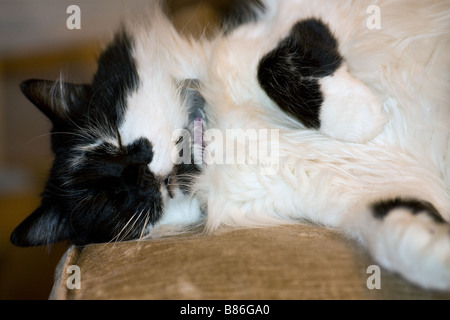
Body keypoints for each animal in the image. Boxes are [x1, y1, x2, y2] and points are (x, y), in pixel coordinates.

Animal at [11, 0, 450, 292]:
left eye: (115, 140)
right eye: (110, 201)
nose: (138, 177)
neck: (224, 141)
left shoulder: (296, 16)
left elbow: (270, 64)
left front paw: (361, 116)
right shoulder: (360, 198)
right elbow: (402, 234)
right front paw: (439, 256)